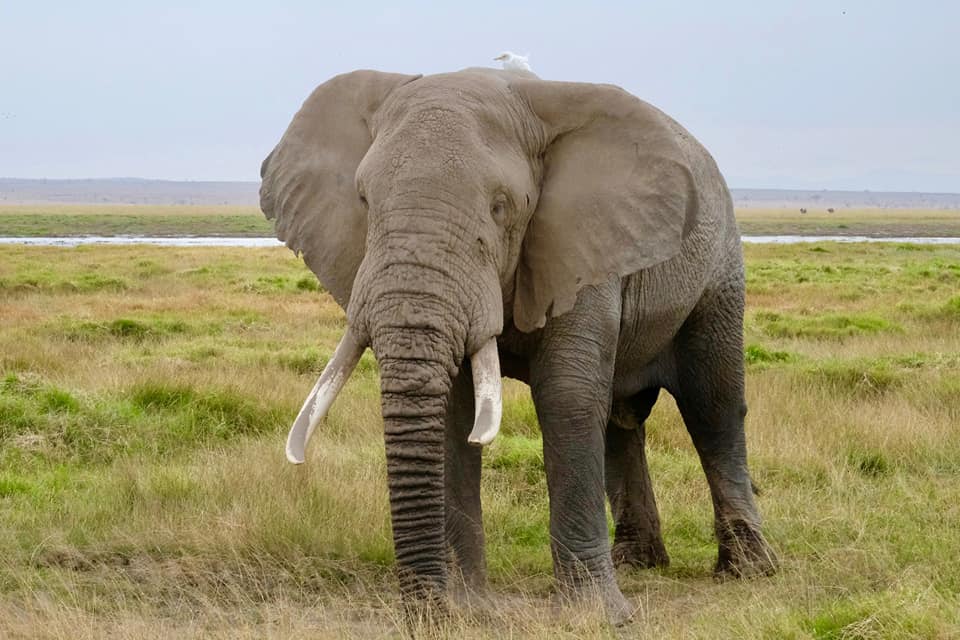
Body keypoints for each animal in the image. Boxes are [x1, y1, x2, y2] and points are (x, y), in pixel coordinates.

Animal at [259, 66, 777, 624]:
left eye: (500, 207)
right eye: (364, 202)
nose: (427, 610)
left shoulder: (581, 243)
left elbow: (567, 398)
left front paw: (597, 617)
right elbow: (456, 412)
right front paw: (470, 607)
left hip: (720, 272)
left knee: (712, 408)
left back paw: (749, 571)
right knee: (621, 421)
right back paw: (638, 563)